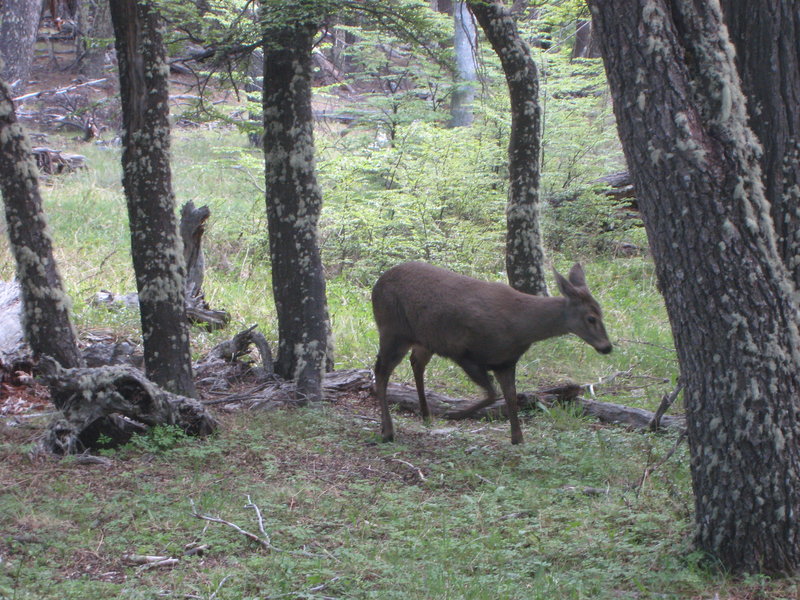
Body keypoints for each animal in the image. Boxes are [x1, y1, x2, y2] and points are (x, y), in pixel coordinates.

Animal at [370, 262, 612, 446]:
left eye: (601, 312)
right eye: (591, 318)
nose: (607, 347)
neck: (519, 327)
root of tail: (377, 283)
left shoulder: (505, 362)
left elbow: (510, 396)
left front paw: (517, 438)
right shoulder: (464, 353)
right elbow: (492, 394)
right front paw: (453, 414)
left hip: (424, 339)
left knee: (415, 364)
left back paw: (425, 415)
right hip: (393, 330)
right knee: (381, 371)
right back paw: (388, 430)